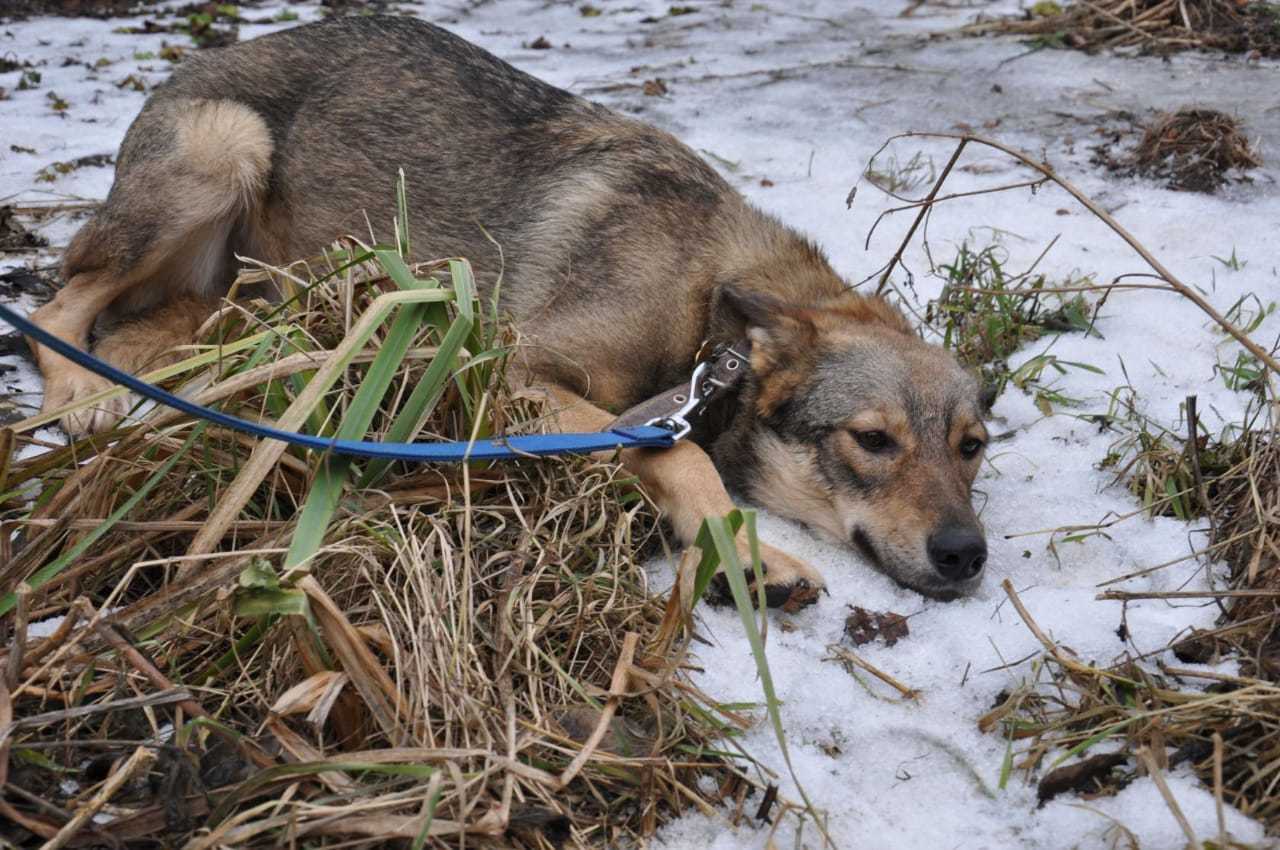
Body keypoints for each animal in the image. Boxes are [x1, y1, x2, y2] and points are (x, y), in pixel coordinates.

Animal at [27, 13, 988, 604]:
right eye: (873, 441)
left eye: (972, 448)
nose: (967, 555)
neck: (704, 304)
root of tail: (198, 60)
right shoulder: (513, 368)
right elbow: (681, 457)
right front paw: (748, 555)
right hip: (224, 151)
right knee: (57, 307)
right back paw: (82, 398)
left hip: (248, 289)